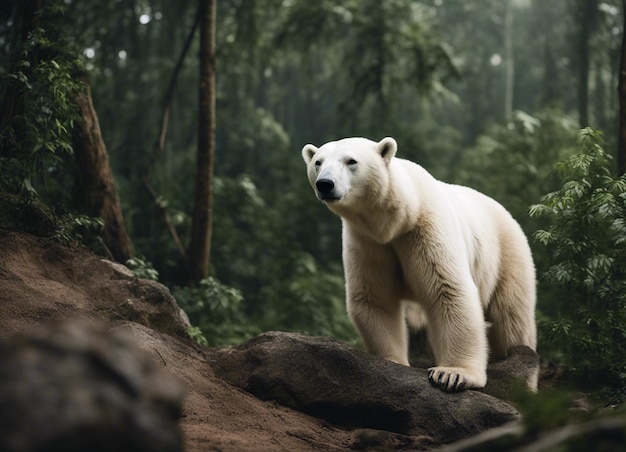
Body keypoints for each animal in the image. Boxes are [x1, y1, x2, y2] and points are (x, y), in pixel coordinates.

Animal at [300, 137, 532, 392]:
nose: (325, 184)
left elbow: (448, 289)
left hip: (507, 255)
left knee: (512, 319)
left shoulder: (426, 230)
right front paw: (392, 361)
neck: (399, 219)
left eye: (351, 161)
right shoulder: (368, 242)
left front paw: (453, 374)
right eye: (318, 162)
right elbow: (375, 297)